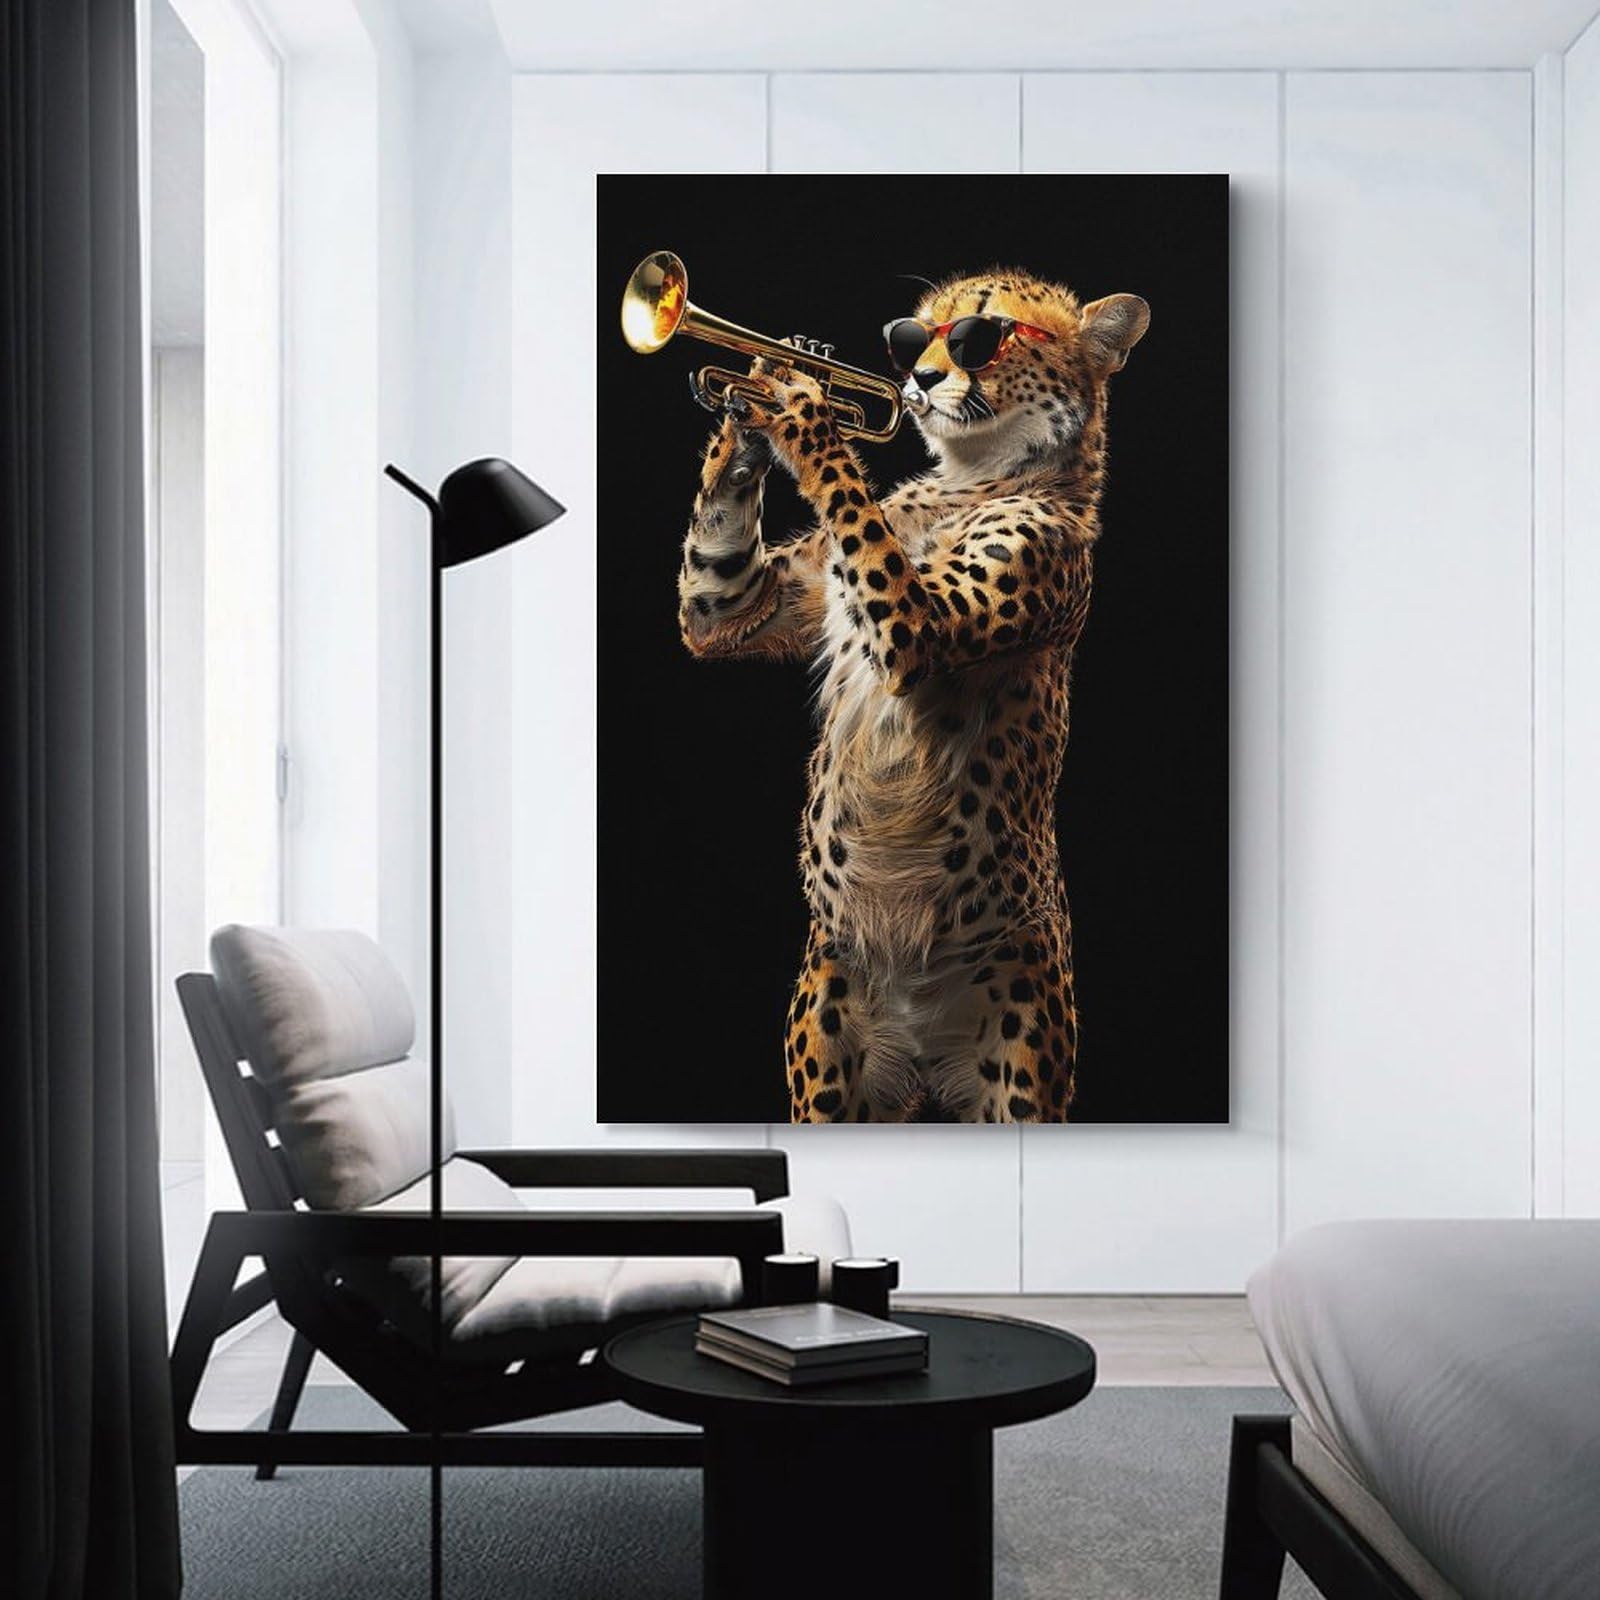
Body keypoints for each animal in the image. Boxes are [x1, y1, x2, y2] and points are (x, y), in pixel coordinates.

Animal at [676, 267, 1149, 1123]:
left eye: (981, 338)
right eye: (911, 336)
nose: (918, 379)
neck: (968, 482)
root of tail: (925, 1052)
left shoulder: (918, 630)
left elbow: (854, 509)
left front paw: (802, 398)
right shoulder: (741, 607)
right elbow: (718, 595)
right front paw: (761, 381)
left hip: (1021, 1079)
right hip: (829, 1071)